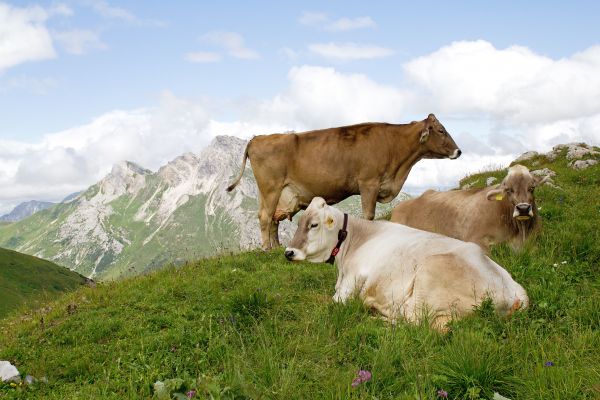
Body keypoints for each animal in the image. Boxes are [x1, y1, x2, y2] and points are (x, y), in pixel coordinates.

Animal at [227, 113, 462, 250]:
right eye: (441, 130)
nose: (459, 151)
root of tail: (257, 138)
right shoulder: (369, 183)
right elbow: (369, 215)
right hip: (271, 187)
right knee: (266, 217)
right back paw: (267, 249)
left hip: (272, 192)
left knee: (273, 219)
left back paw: (276, 247)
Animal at [284, 198, 528, 332]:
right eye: (299, 222)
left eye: (313, 224)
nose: (288, 252)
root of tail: (516, 293)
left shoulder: (349, 284)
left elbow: (324, 302)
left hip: (427, 282)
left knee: (416, 324)